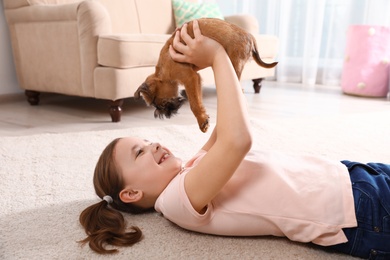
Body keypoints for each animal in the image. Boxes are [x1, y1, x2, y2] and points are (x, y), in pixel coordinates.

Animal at [134, 17, 278, 132]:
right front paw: (204, 117)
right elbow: (198, 100)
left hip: (234, 63)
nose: (163, 114)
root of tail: (250, 36)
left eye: (160, 104)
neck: (162, 71)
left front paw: (202, 121)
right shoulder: (196, 79)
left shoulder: (189, 78)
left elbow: (193, 103)